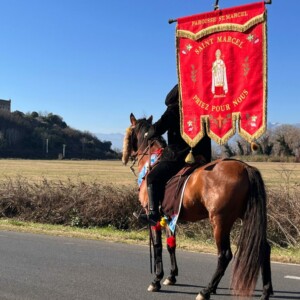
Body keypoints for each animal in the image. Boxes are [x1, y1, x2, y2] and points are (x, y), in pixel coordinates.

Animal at [122, 113, 274, 300]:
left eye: (130, 133)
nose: (126, 156)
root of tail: (246, 168)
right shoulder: (169, 216)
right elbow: (171, 245)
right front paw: (171, 276)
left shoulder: (154, 217)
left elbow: (158, 246)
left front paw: (156, 280)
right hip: (246, 216)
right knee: (263, 249)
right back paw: (265, 292)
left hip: (220, 222)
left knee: (224, 255)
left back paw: (206, 290)